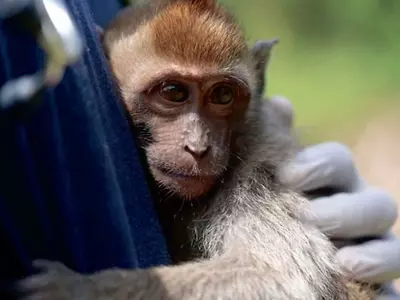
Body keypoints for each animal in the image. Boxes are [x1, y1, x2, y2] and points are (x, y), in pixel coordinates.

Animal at [14, 0, 374, 298]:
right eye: (173, 92)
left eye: (223, 95)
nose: (198, 147)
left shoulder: (259, 171)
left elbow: (278, 276)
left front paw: (78, 290)